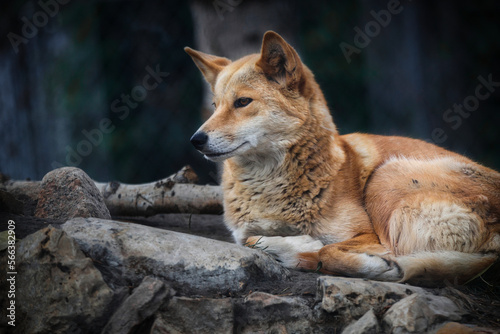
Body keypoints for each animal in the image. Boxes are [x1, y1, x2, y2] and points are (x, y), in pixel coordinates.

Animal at [187, 32, 500, 288]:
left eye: (242, 102)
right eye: (215, 106)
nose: (196, 140)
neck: (268, 185)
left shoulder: (367, 235)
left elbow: (327, 250)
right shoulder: (242, 233)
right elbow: (252, 240)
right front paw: (291, 243)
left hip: (385, 178)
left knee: (374, 254)